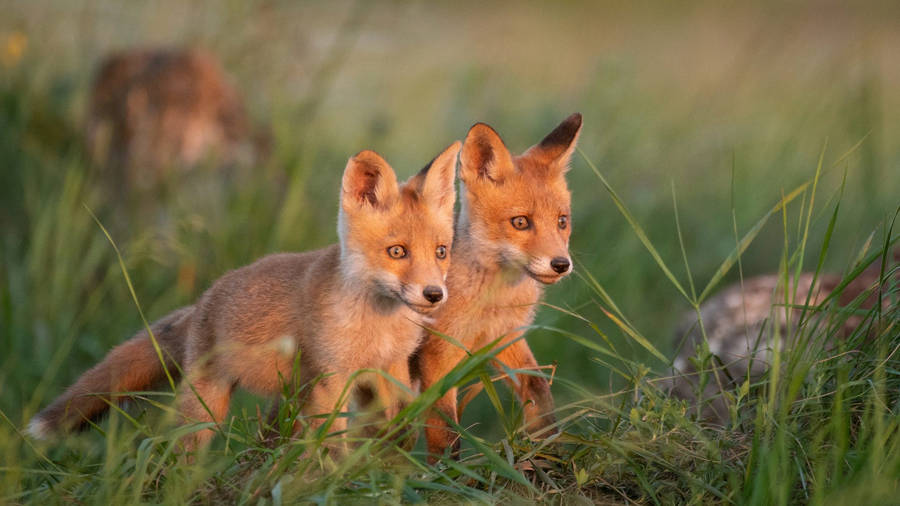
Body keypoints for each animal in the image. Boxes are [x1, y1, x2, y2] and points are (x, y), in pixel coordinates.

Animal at [27, 142, 460, 454]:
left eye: (441, 252)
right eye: (397, 252)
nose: (434, 295)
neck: (378, 328)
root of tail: (203, 300)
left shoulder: (391, 372)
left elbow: (399, 434)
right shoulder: (330, 380)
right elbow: (331, 446)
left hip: (285, 401)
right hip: (207, 408)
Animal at [412, 113, 582, 461]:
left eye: (562, 221)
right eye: (520, 222)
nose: (561, 264)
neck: (492, 301)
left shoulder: (505, 337)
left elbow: (539, 390)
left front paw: (548, 449)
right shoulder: (438, 354)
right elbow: (445, 432)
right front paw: (446, 471)